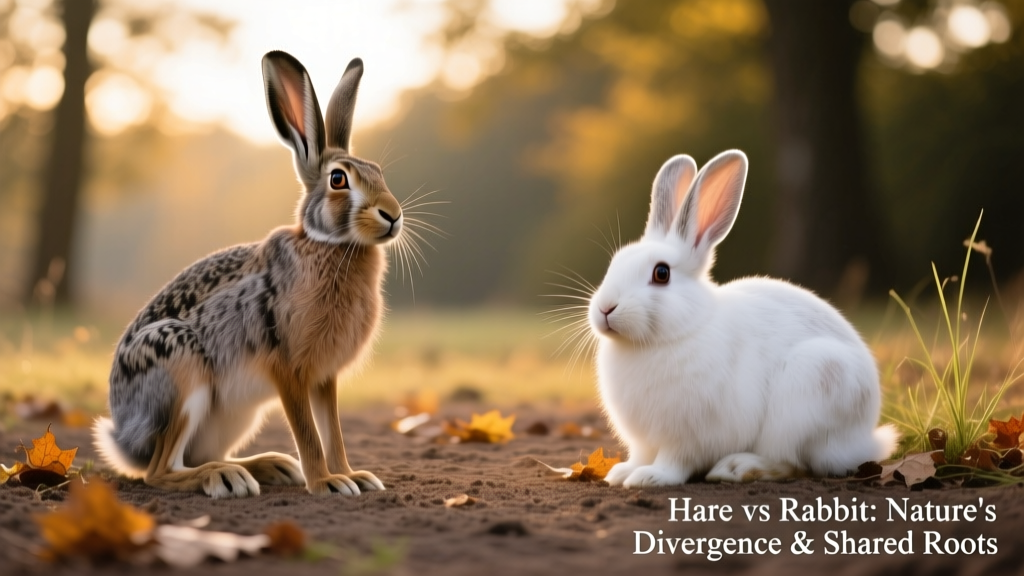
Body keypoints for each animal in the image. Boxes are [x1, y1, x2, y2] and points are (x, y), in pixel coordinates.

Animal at [93, 51, 403, 498]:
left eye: (378, 172)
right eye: (338, 179)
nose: (393, 215)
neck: (327, 245)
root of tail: (123, 437)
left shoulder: (324, 376)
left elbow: (333, 431)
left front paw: (352, 476)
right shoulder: (288, 368)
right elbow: (309, 432)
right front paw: (327, 483)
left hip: (234, 418)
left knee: (192, 458)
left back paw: (269, 466)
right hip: (181, 372)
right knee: (161, 471)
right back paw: (226, 478)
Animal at [588, 149, 897, 488]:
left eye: (661, 273)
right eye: (615, 263)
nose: (605, 308)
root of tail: (863, 441)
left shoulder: (689, 434)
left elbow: (675, 460)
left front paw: (650, 477)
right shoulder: (644, 440)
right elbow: (641, 455)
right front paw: (622, 473)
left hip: (808, 393)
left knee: (793, 463)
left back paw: (737, 468)